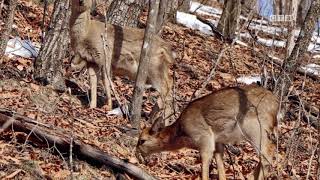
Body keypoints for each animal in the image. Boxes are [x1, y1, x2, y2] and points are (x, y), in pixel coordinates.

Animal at [136, 84, 278, 180]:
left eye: (142, 140)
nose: (137, 155)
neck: (182, 135)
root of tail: (276, 105)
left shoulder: (204, 137)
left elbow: (204, 167)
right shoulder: (218, 142)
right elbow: (220, 167)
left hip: (255, 128)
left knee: (268, 153)